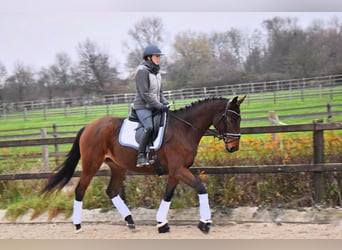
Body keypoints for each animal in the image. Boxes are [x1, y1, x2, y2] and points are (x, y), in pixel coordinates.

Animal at [41, 95, 246, 234]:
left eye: (240, 118)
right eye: (230, 119)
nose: (233, 147)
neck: (184, 129)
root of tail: (89, 126)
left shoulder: (176, 171)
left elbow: (168, 195)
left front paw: (162, 224)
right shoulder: (179, 170)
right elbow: (201, 188)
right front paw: (205, 223)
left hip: (117, 167)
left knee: (112, 191)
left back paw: (130, 221)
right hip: (91, 165)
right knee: (80, 190)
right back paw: (78, 225)